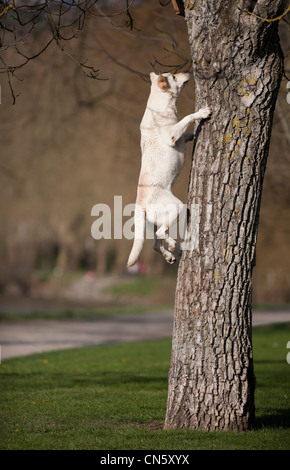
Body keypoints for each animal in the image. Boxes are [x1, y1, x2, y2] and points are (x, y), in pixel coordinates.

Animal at [127, 71, 211, 266]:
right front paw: (202, 113)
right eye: (173, 76)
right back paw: (173, 245)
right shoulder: (172, 136)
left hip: (156, 221)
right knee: (161, 234)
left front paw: (194, 132)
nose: (187, 71)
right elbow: (187, 118)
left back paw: (169, 255)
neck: (161, 106)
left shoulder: (180, 138)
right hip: (177, 208)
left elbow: (187, 133)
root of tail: (140, 204)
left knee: (155, 244)